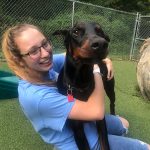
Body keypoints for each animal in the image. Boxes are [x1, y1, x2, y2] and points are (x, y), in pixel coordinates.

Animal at [53, 21, 115, 149]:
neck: (81, 79)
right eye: (76, 31)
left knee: (112, 102)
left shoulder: (100, 119)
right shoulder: (77, 127)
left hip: (110, 88)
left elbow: (105, 143)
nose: (101, 43)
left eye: (100, 31)